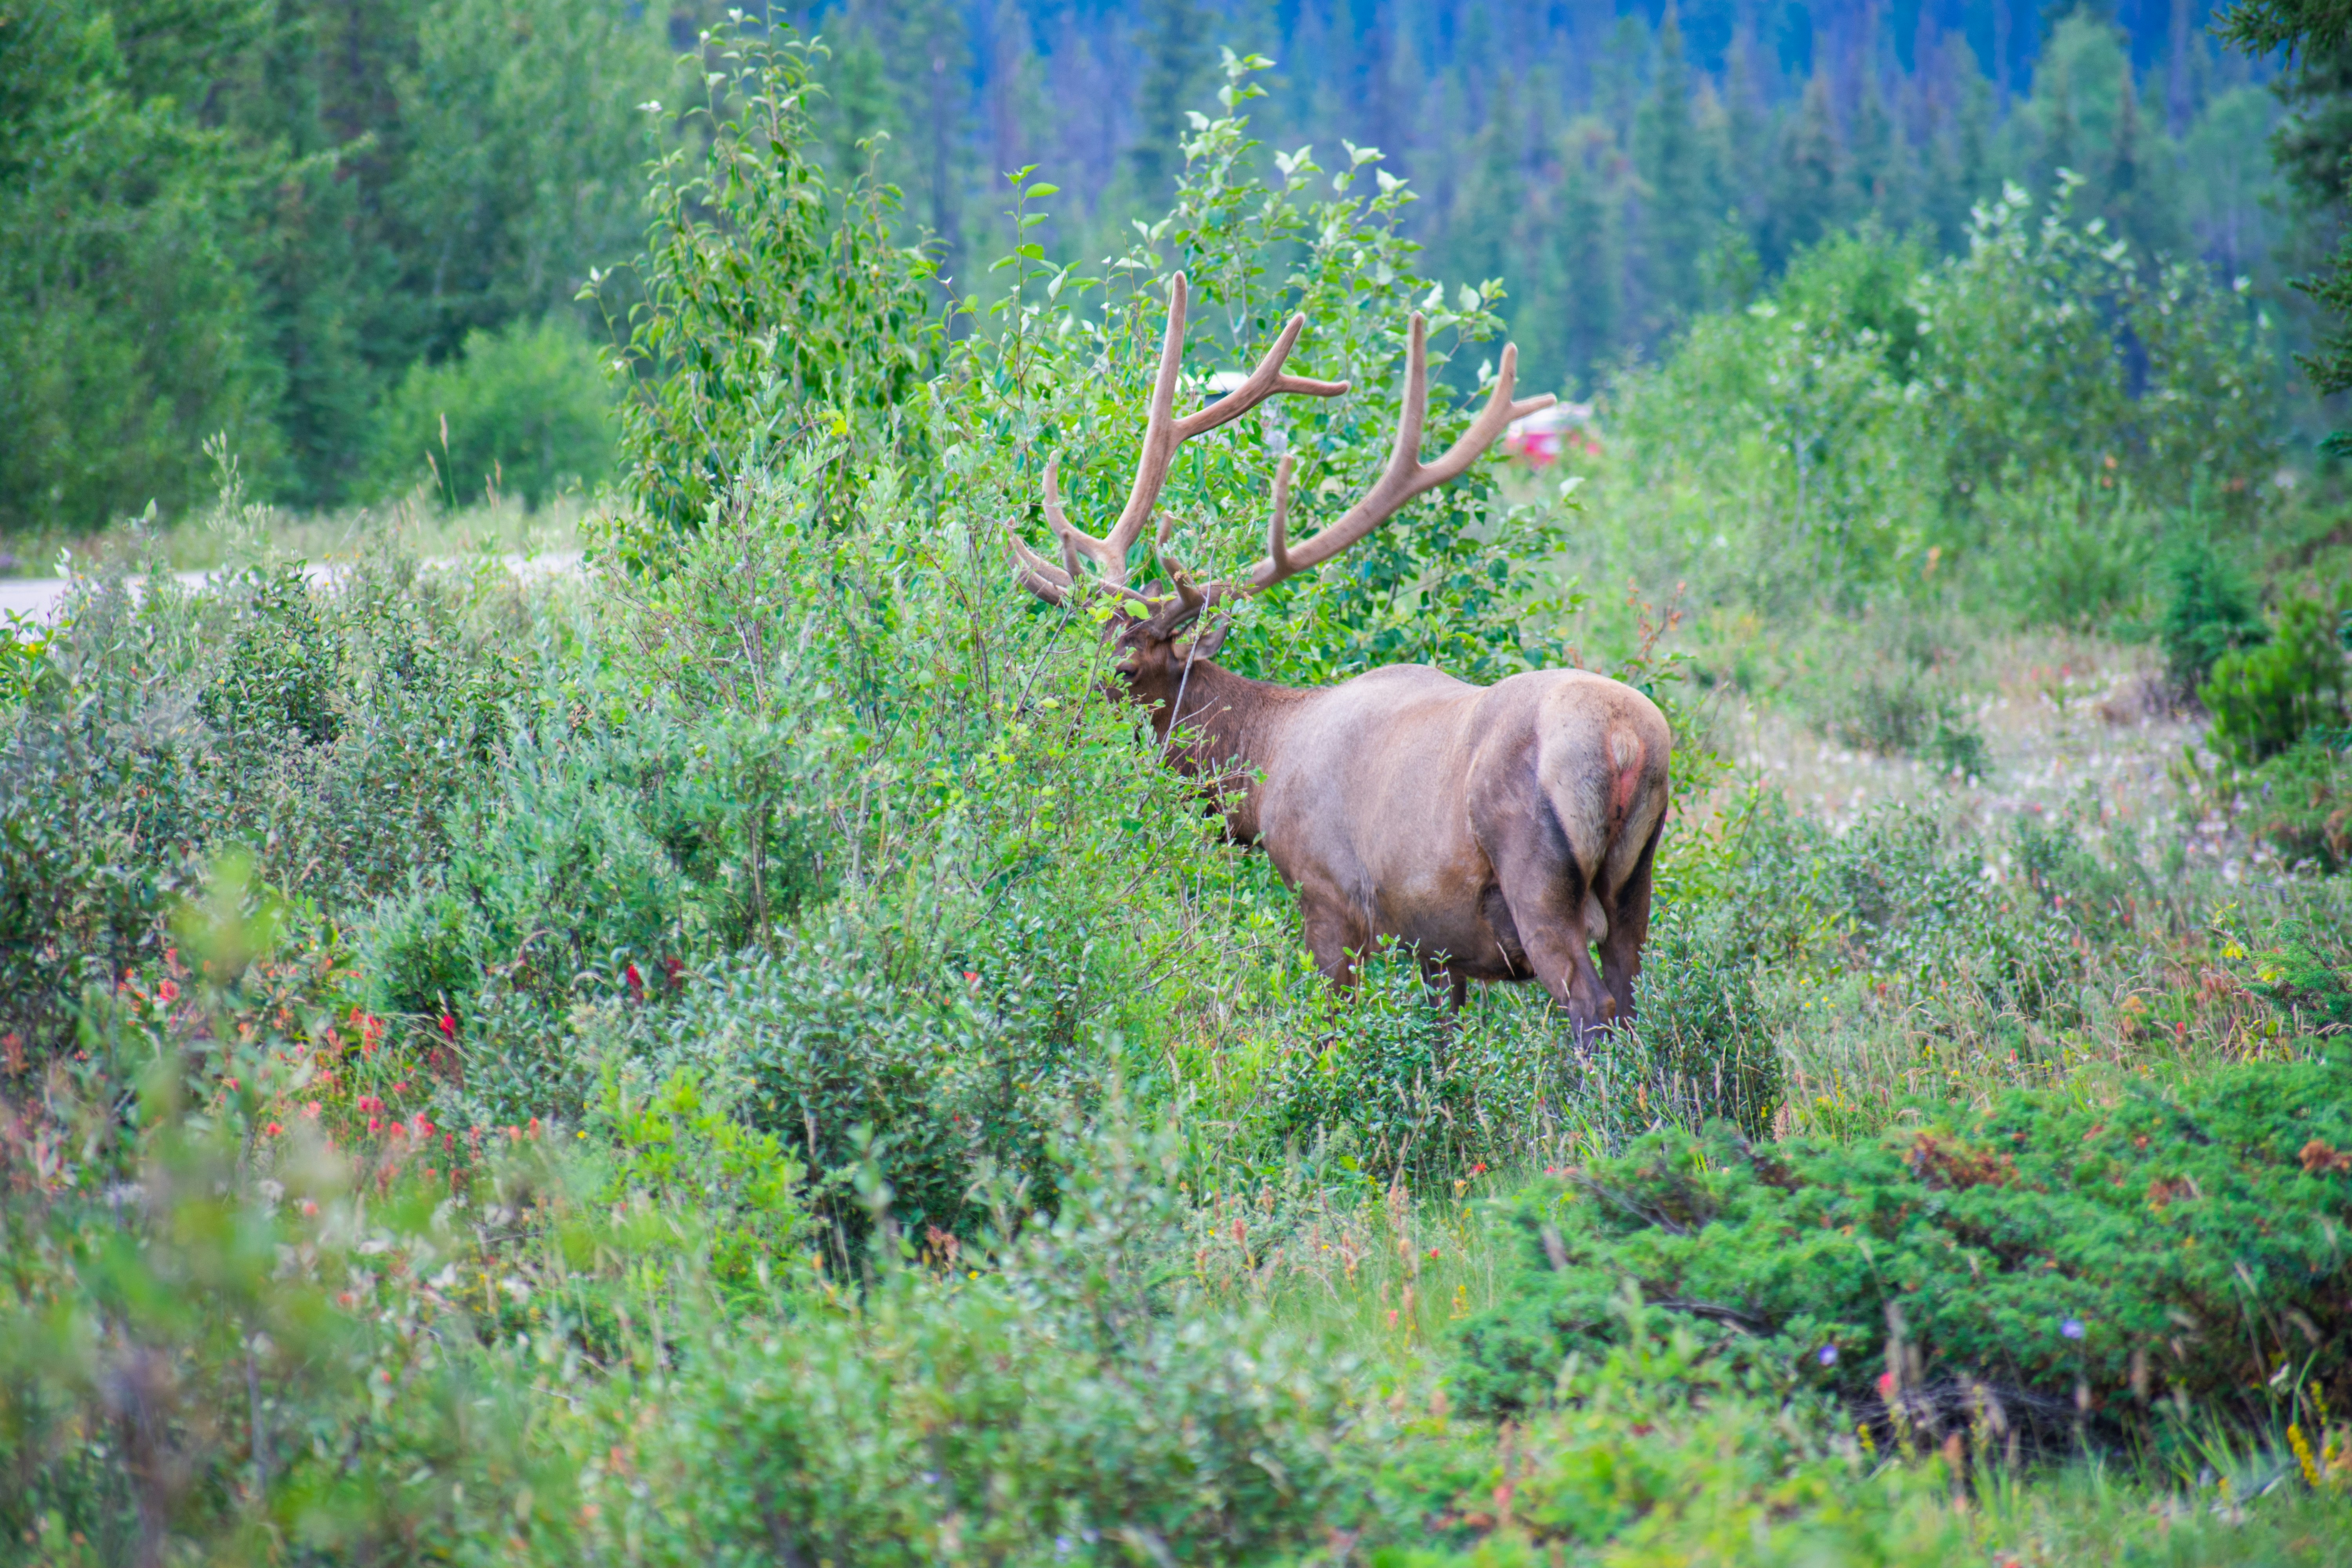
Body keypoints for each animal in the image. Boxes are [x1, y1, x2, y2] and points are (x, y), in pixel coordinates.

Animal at [1002, 275, 1671, 1044]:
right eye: (1073, 647)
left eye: (1124, 669)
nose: (1028, 717)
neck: (1258, 781)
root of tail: (1627, 741)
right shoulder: (1435, 941)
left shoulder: (1327, 898)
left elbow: (1331, 1030)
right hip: (1635, 889)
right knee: (1631, 1003)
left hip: (1537, 877)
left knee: (1594, 1014)